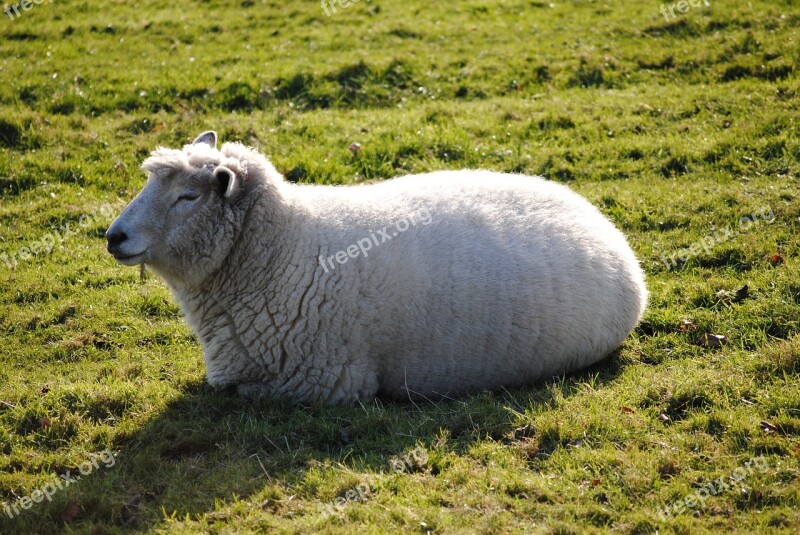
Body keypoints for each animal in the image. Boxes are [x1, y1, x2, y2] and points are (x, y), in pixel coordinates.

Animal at [104, 132, 648, 404]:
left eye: (188, 197)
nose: (114, 237)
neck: (283, 250)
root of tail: (602, 223)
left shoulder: (322, 382)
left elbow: (231, 391)